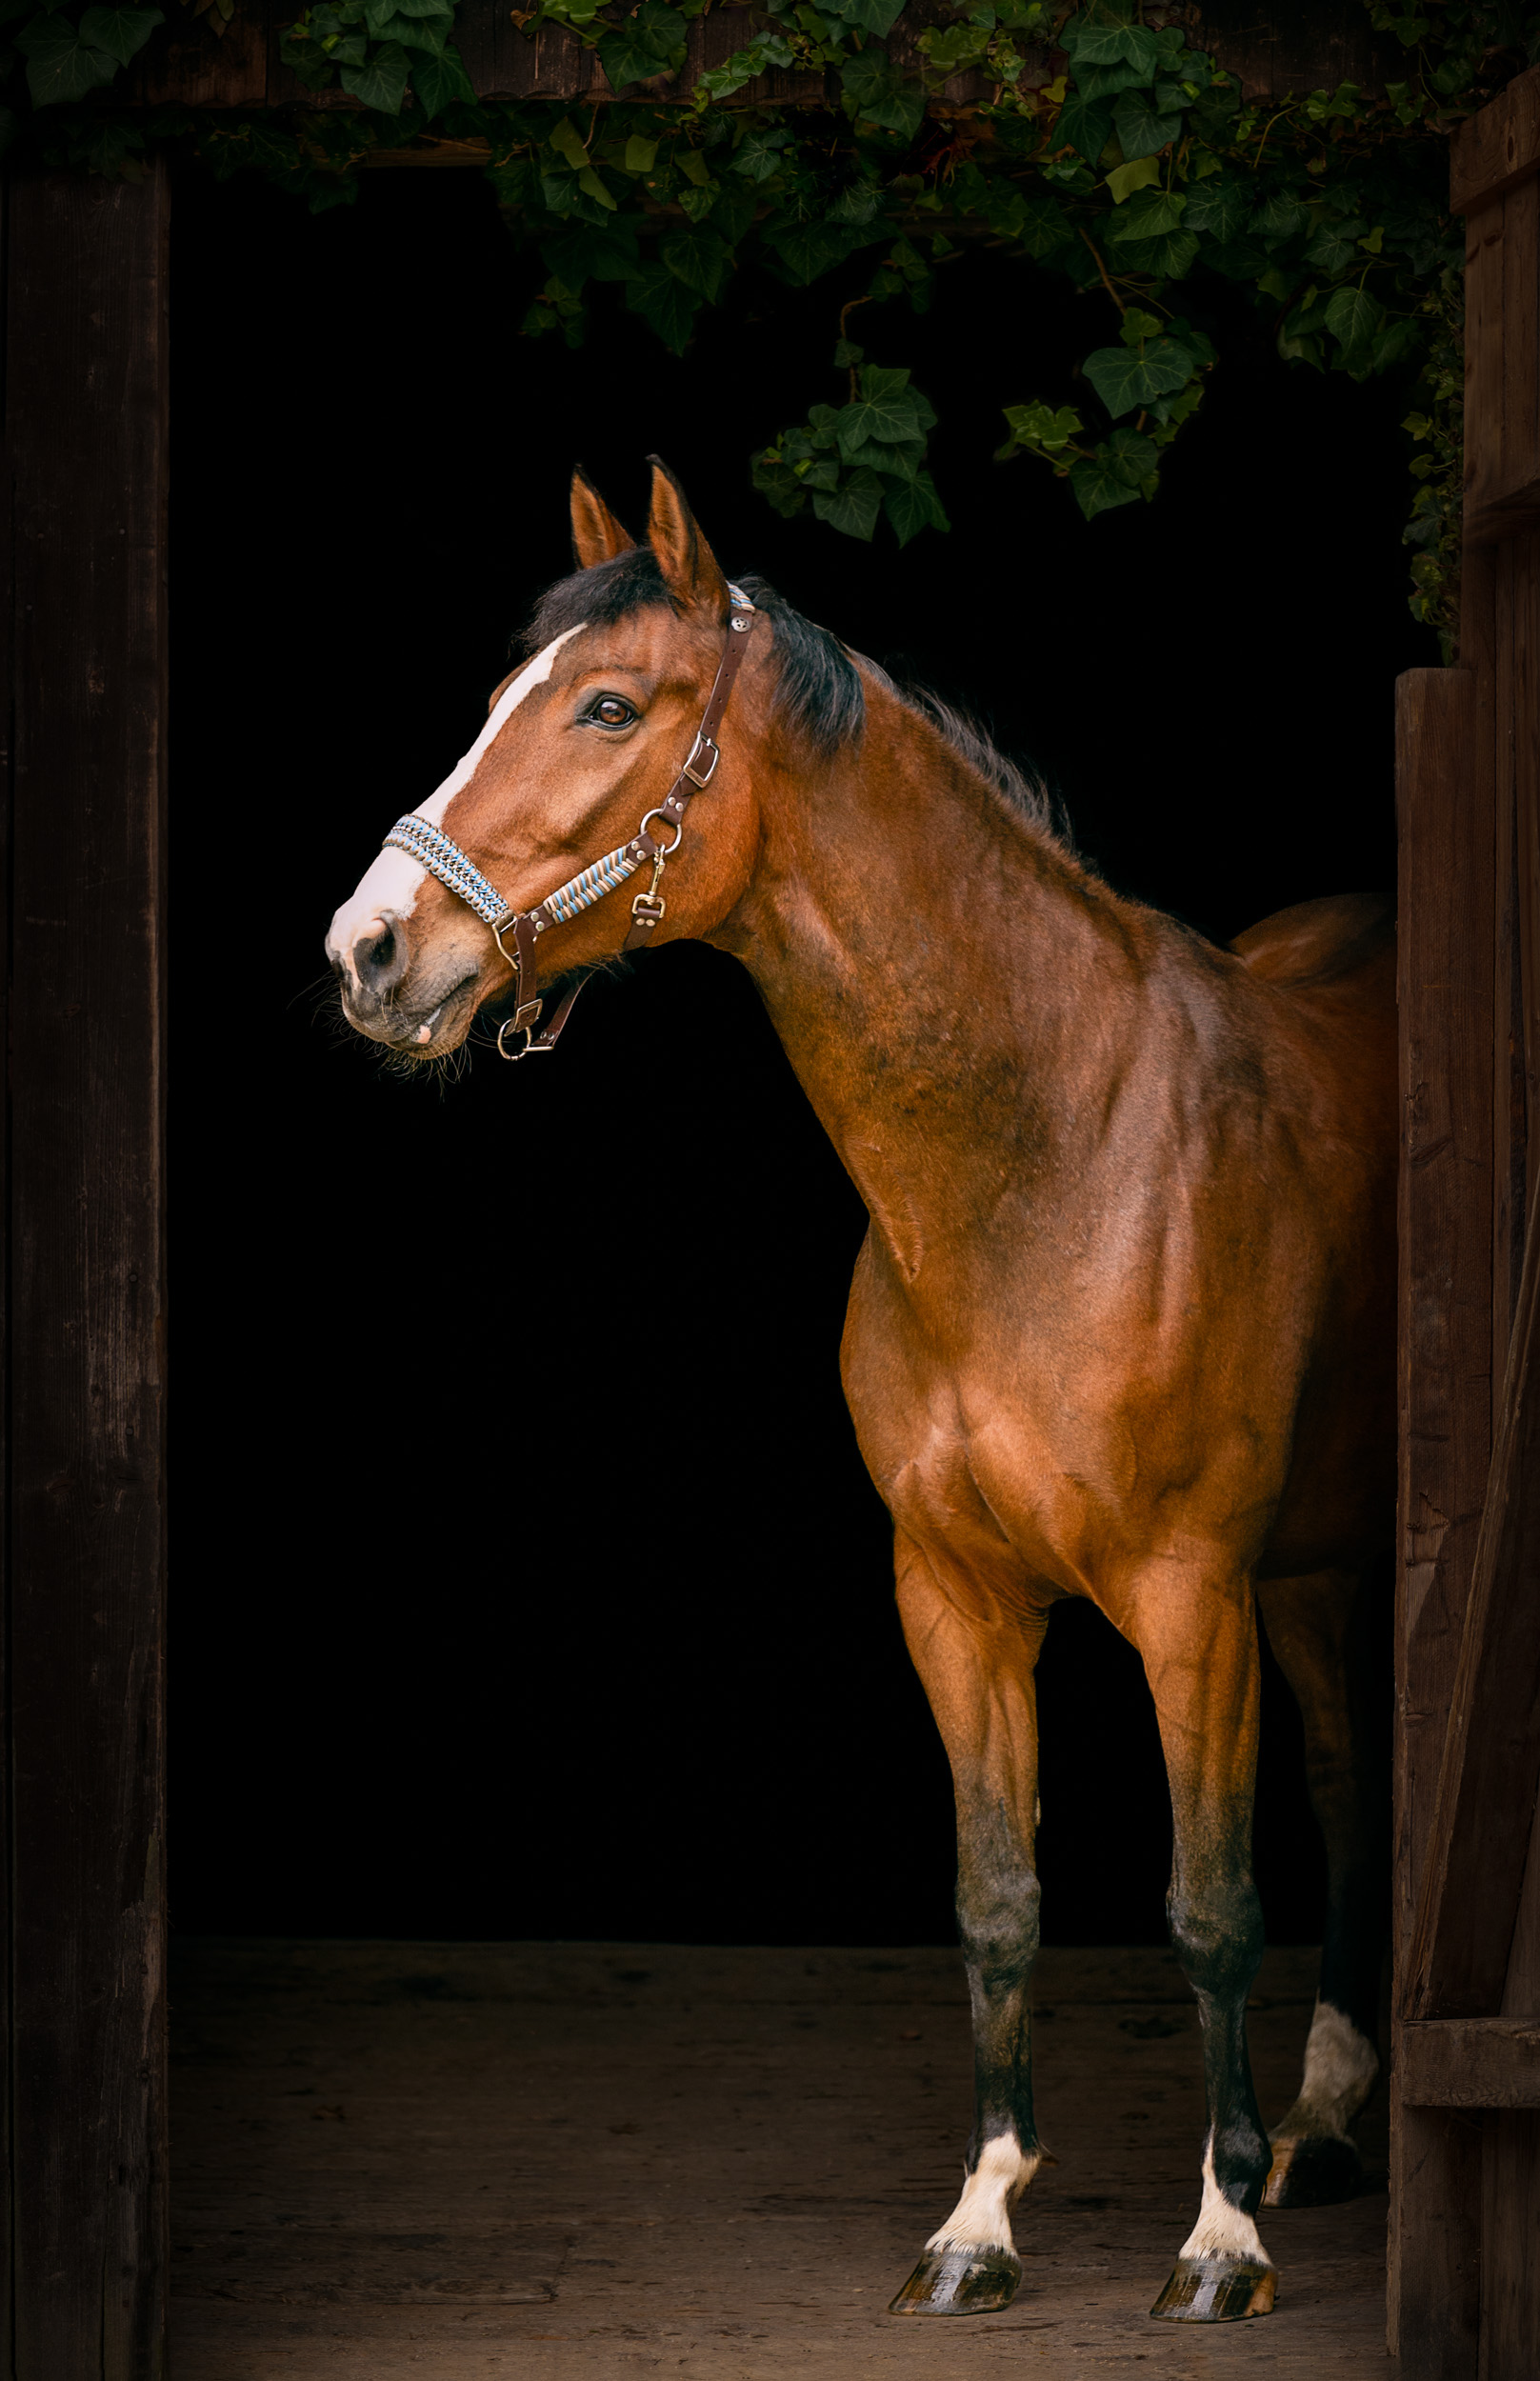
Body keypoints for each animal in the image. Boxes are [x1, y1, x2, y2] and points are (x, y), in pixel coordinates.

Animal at [325, 459, 1395, 2326]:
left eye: (608, 707)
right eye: (504, 695)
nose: (368, 950)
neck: (1054, 1156)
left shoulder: (1189, 1598)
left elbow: (1208, 1907)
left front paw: (1218, 2239)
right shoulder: (950, 1595)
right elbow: (994, 1899)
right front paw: (979, 2220)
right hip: (1311, 1572)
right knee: (1343, 1789)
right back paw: (1325, 2129)